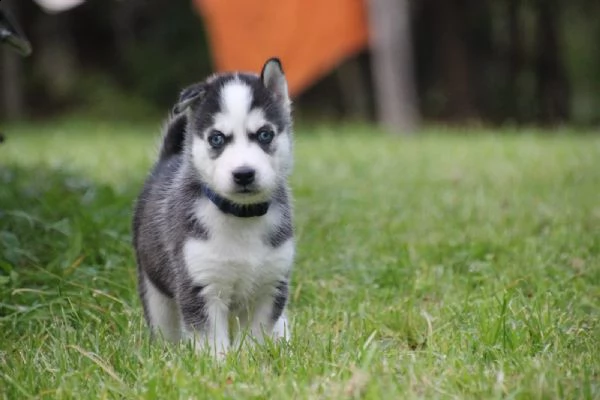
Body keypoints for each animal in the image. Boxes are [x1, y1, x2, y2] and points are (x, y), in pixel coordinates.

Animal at [135, 57, 296, 358]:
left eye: (265, 134)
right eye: (217, 138)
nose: (244, 174)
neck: (241, 216)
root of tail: (167, 159)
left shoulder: (270, 286)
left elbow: (259, 334)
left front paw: (256, 360)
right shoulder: (201, 286)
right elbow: (211, 342)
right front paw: (218, 365)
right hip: (155, 287)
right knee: (164, 326)